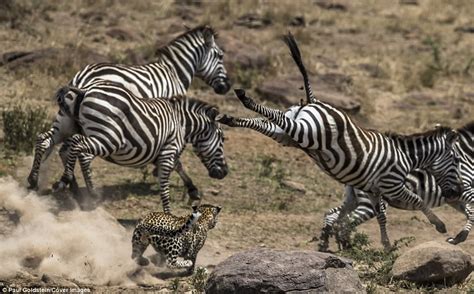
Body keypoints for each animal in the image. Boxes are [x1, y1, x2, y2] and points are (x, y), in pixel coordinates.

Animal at [27, 24, 231, 200]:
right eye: (220, 56)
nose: (227, 87)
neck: (174, 73)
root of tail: (81, 80)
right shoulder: (172, 117)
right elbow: (177, 157)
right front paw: (189, 187)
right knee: (76, 150)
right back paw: (84, 191)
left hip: (67, 120)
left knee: (51, 143)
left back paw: (59, 186)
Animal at [50, 80, 228, 214]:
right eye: (222, 139)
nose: (225, 172)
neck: (181, 124)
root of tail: (84, 90)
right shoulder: (169, 150)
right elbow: (166, 184)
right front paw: (170, 214)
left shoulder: (162, 151)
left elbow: (178, 166)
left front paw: (193, 191)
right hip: (108, 137)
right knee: (79, 148)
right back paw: (80, 188)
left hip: (75, 128)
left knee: (65, 148)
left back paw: (74, 189)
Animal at [218, 32, 462, 234]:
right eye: (456, 161)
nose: (456, 193)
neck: (408, 157)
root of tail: (314, 100)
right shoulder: (392, 185)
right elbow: (418, 201)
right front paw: (440, 225)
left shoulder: (373, 191)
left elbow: (378, 215)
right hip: (305, 132)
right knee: (275, 115)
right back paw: (244, 98)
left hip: (288, 134)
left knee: (267, 120)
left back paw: (232, 116)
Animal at [320, 121, 472, 250]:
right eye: (457, 160)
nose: (458, 189)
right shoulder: (465, 191)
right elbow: (471, 211)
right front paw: (459, 236)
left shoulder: (456, 198)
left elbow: (468, 211)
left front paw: (458, 237)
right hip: (366, 203)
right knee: (345, 221)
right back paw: (348, 248)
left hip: (354, 199)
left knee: (333, 215)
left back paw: (327, 244)